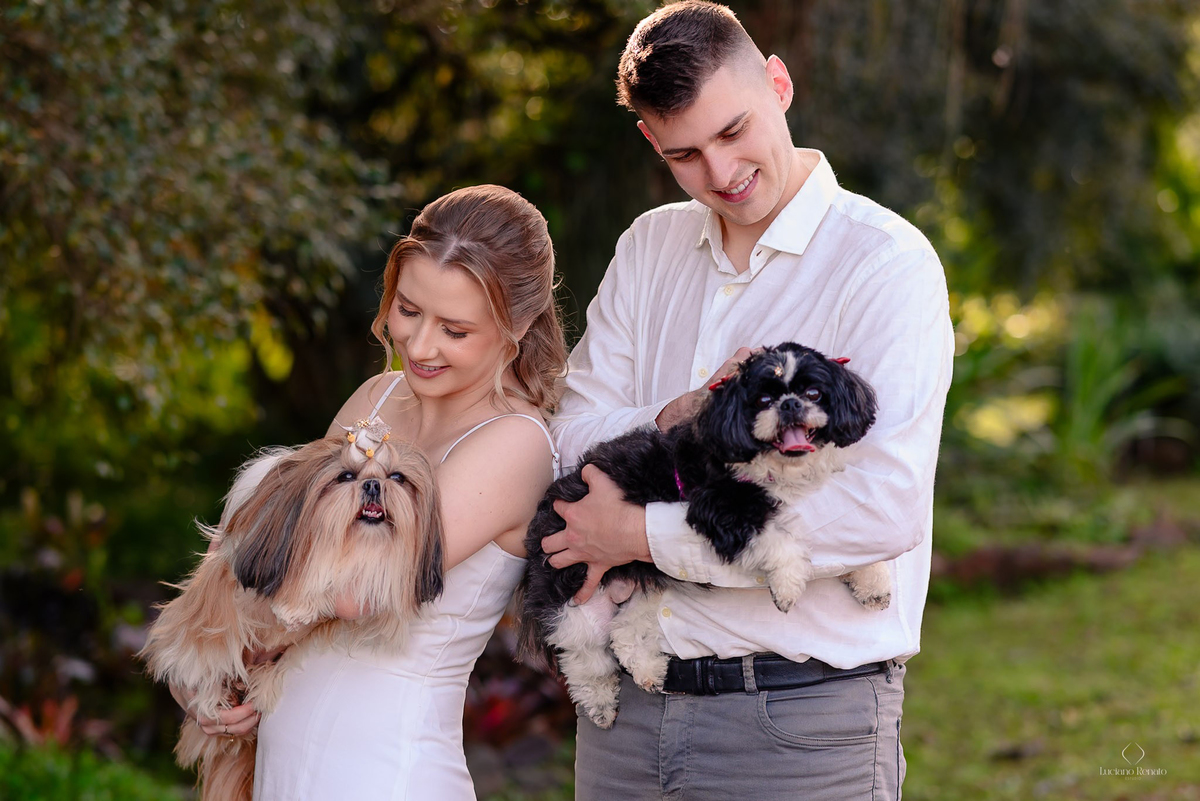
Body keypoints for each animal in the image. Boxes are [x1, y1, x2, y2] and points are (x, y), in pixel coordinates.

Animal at [519, 342, 891, 728]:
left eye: (813, 393)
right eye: (762, 399)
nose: (790, 404)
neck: (778, 467)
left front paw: (872, 580)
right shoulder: (717, 506)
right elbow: (775, 535)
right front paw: (787, 584)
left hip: (642, 583)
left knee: (623, 631)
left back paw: (648, 671)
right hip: (575, 594)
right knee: (583, 655)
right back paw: (601, 705)